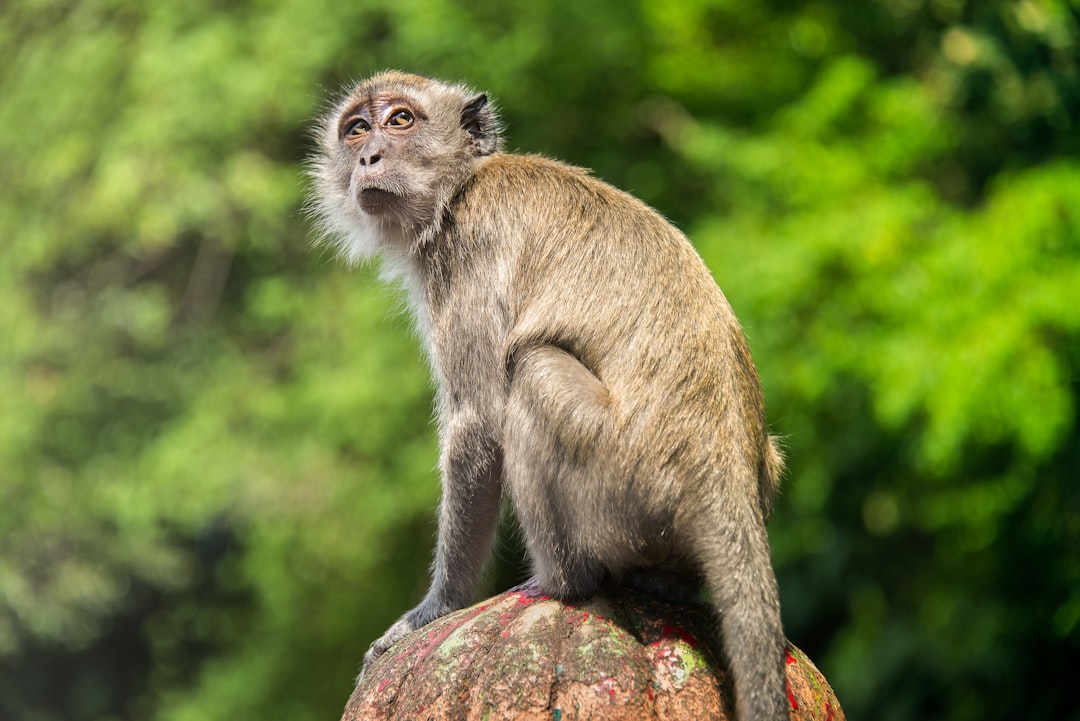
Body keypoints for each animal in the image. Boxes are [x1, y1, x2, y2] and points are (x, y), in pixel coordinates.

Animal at [308, 71, 790, 721]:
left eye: (400, 120)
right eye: (356, 128)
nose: (368, 157)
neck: (461, 186)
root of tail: (724, 477)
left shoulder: (467, 253)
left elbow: (477, 424)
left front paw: (436, 608)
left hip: (624, 480)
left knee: (532, 370)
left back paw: (561, 580)